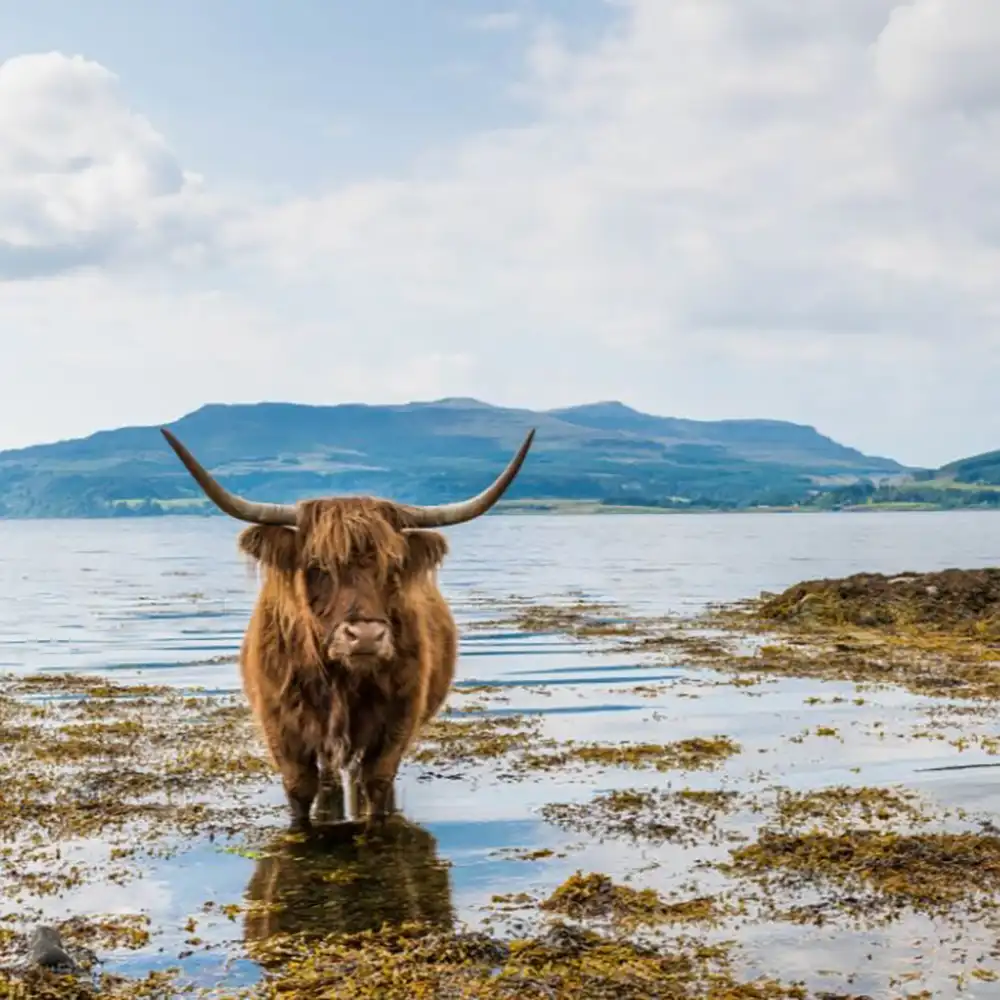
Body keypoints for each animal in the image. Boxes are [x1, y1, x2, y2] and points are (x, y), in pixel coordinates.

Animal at [160, 428, 536, 828]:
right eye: (317, 565)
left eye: (394, 565)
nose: (366, 636)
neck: (341, 678)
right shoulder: (283, 730)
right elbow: (299, 791)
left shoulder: (395, 726)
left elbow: (377, 786)